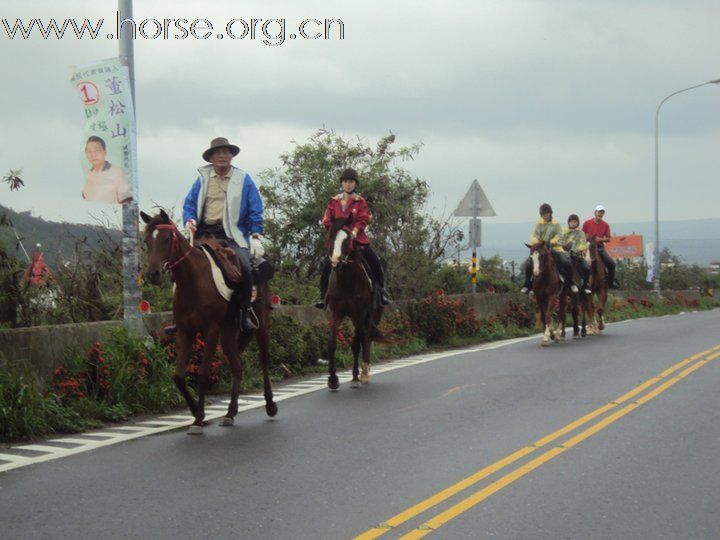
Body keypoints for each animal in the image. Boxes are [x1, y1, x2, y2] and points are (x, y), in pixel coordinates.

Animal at [139, 211, 278, 434]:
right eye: (146, 241)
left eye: (166, 239)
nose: (153, 274)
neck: (193, 282)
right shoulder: (185, 332)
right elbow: (178, 377)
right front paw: (196, 411)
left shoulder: (210, 331)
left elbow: (203, 374)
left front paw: (198, 419)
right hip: (228, 331)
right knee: (237, 366)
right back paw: (230, 413)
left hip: (262, 325)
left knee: (264, 360)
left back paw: (270, 405)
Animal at [324, 217, 382, 390]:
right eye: (330, 237)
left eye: (348, 239)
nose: (336, 262)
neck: (346, 281)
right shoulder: (336, 313)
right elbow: (332, 343)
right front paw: (333, 378)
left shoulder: (359, 313)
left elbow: (356, 344)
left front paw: (357, 376)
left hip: (372, 315)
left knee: (367, 337)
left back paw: (364, 372)